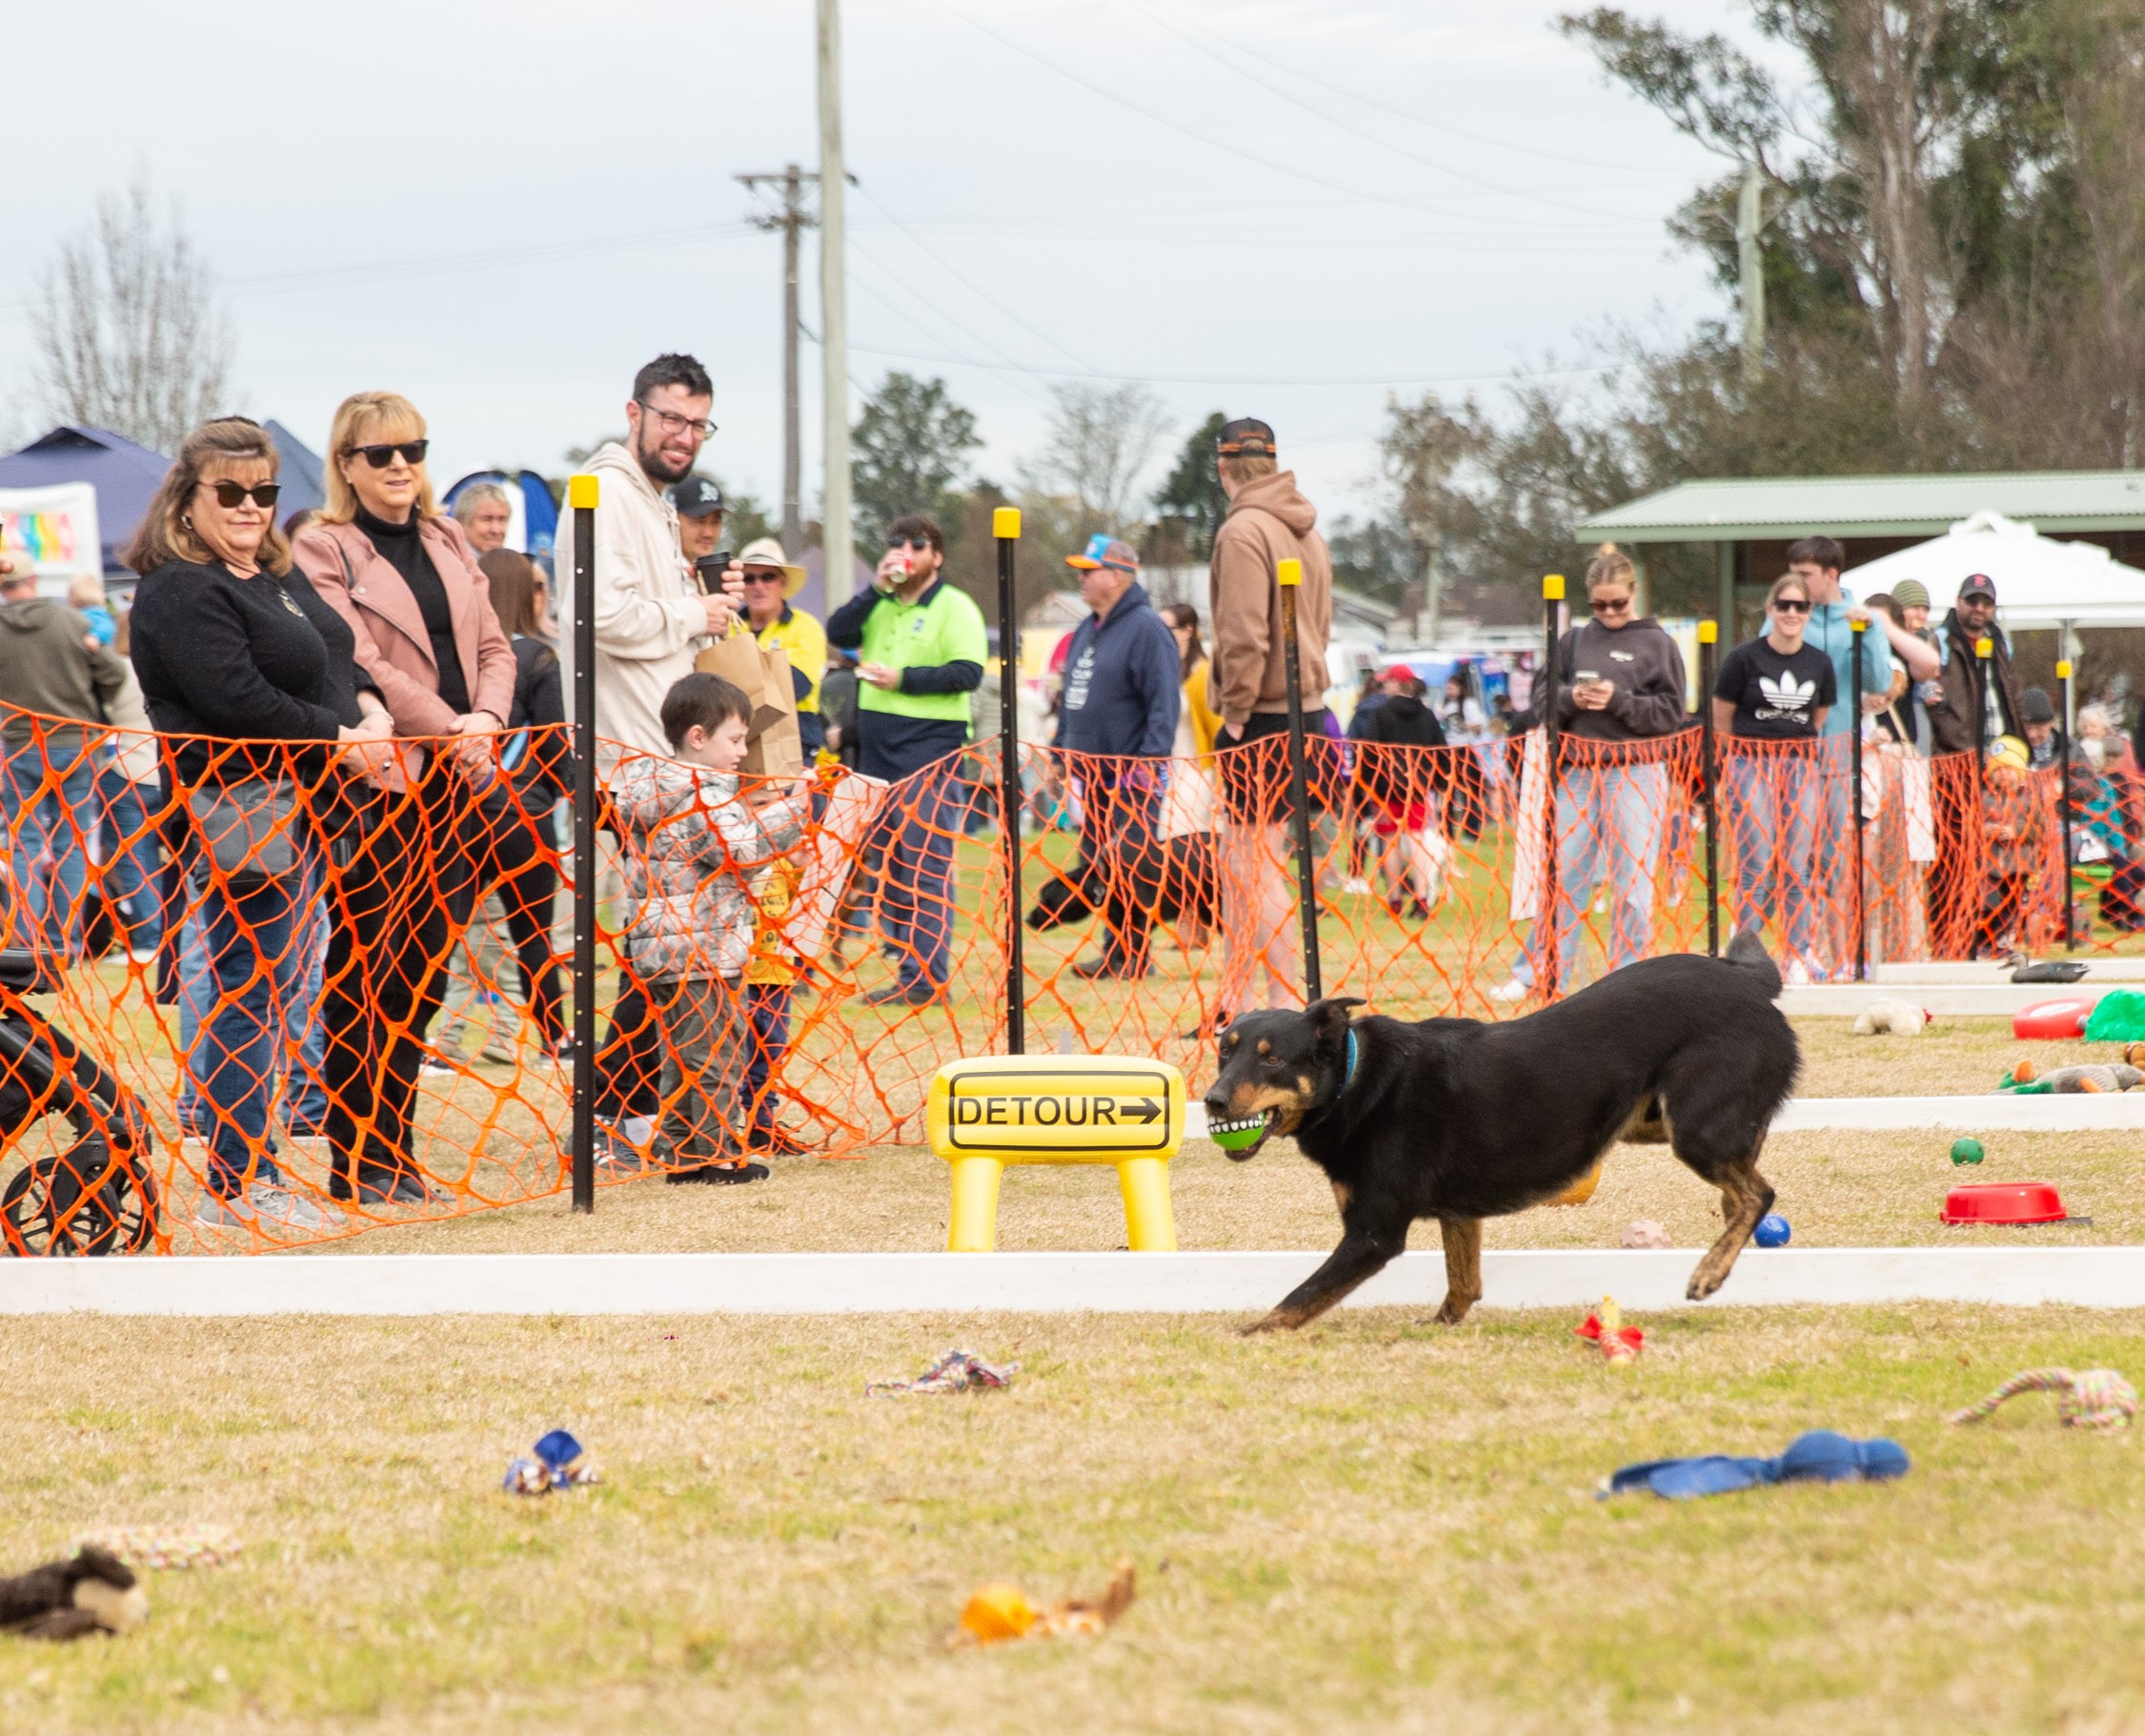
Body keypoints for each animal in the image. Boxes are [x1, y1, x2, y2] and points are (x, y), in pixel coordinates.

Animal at [1209, 935, 1792, 1330]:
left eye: (1272, 1060)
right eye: (1224, 1051)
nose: (1212, 1100)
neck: (1355, 1079)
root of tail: (1748, 981)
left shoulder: (1372, 1235)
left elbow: (1295, 1300)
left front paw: (1249, 1335)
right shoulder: (1458, 1214)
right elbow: (1463, 1284)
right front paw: (1440, 1327)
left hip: (1692, 1128)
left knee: (1757, 1193)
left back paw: (1709, 1272)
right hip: (1649, 1122)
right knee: (1743, 1184)